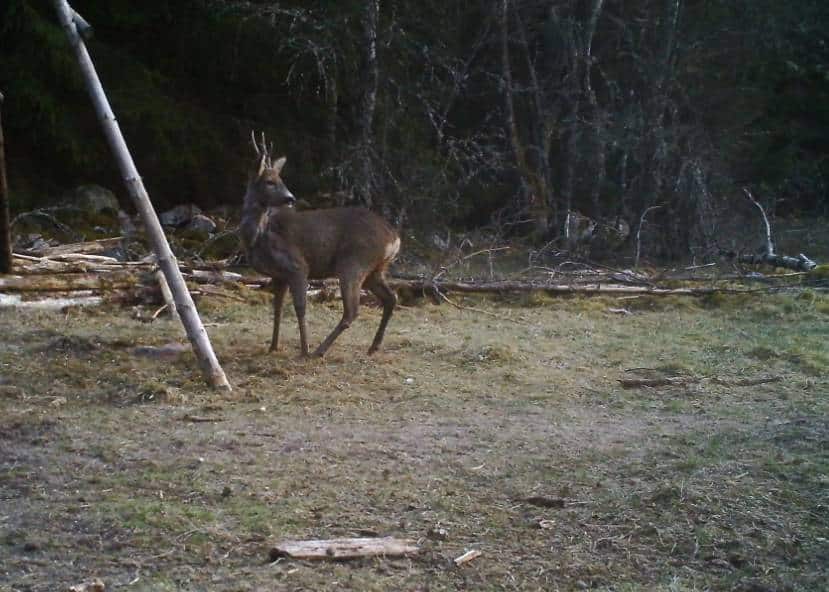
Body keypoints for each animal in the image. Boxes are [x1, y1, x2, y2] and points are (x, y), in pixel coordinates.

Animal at [239, 134, 402, 356]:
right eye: (270, 181)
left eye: (281, 180)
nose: (290, 198)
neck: (259, 235)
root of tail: (394, 238)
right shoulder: (278, 275)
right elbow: (277, 307)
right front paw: (273, 346)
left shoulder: (297, 266)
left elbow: (300, 307)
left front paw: (304, 350)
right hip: (375, 269)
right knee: (390, 298)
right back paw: (373, 347)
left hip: (354, 262)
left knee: (352, 311)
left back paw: (319, 351)